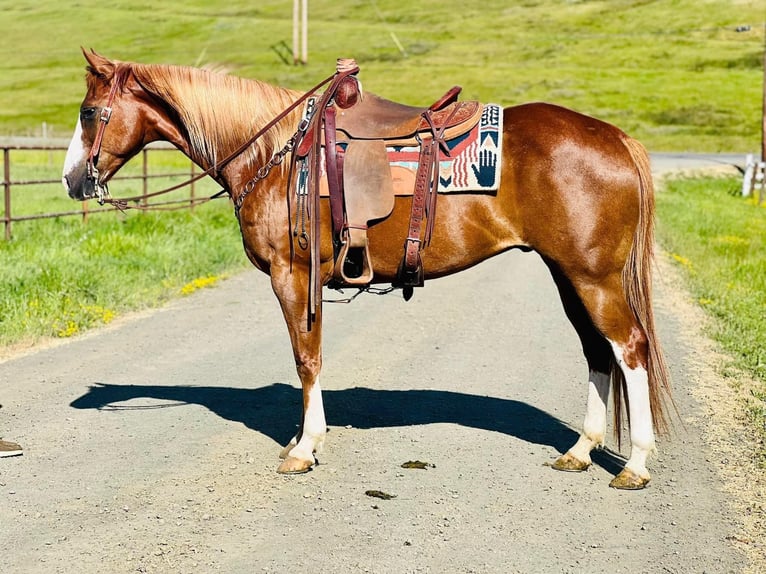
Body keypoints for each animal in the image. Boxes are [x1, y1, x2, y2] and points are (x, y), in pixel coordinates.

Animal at [61, 51, 672, 490]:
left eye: (89, 112)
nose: (71, 179)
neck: (275, 155)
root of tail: (618, 138)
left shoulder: (291, 276)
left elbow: (307, 359)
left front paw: (305, 448)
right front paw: (304, 441)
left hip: (593, 277)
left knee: (629, 348)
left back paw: (635, 465)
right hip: (568, 274)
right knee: (597, 352)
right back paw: (580, 451)